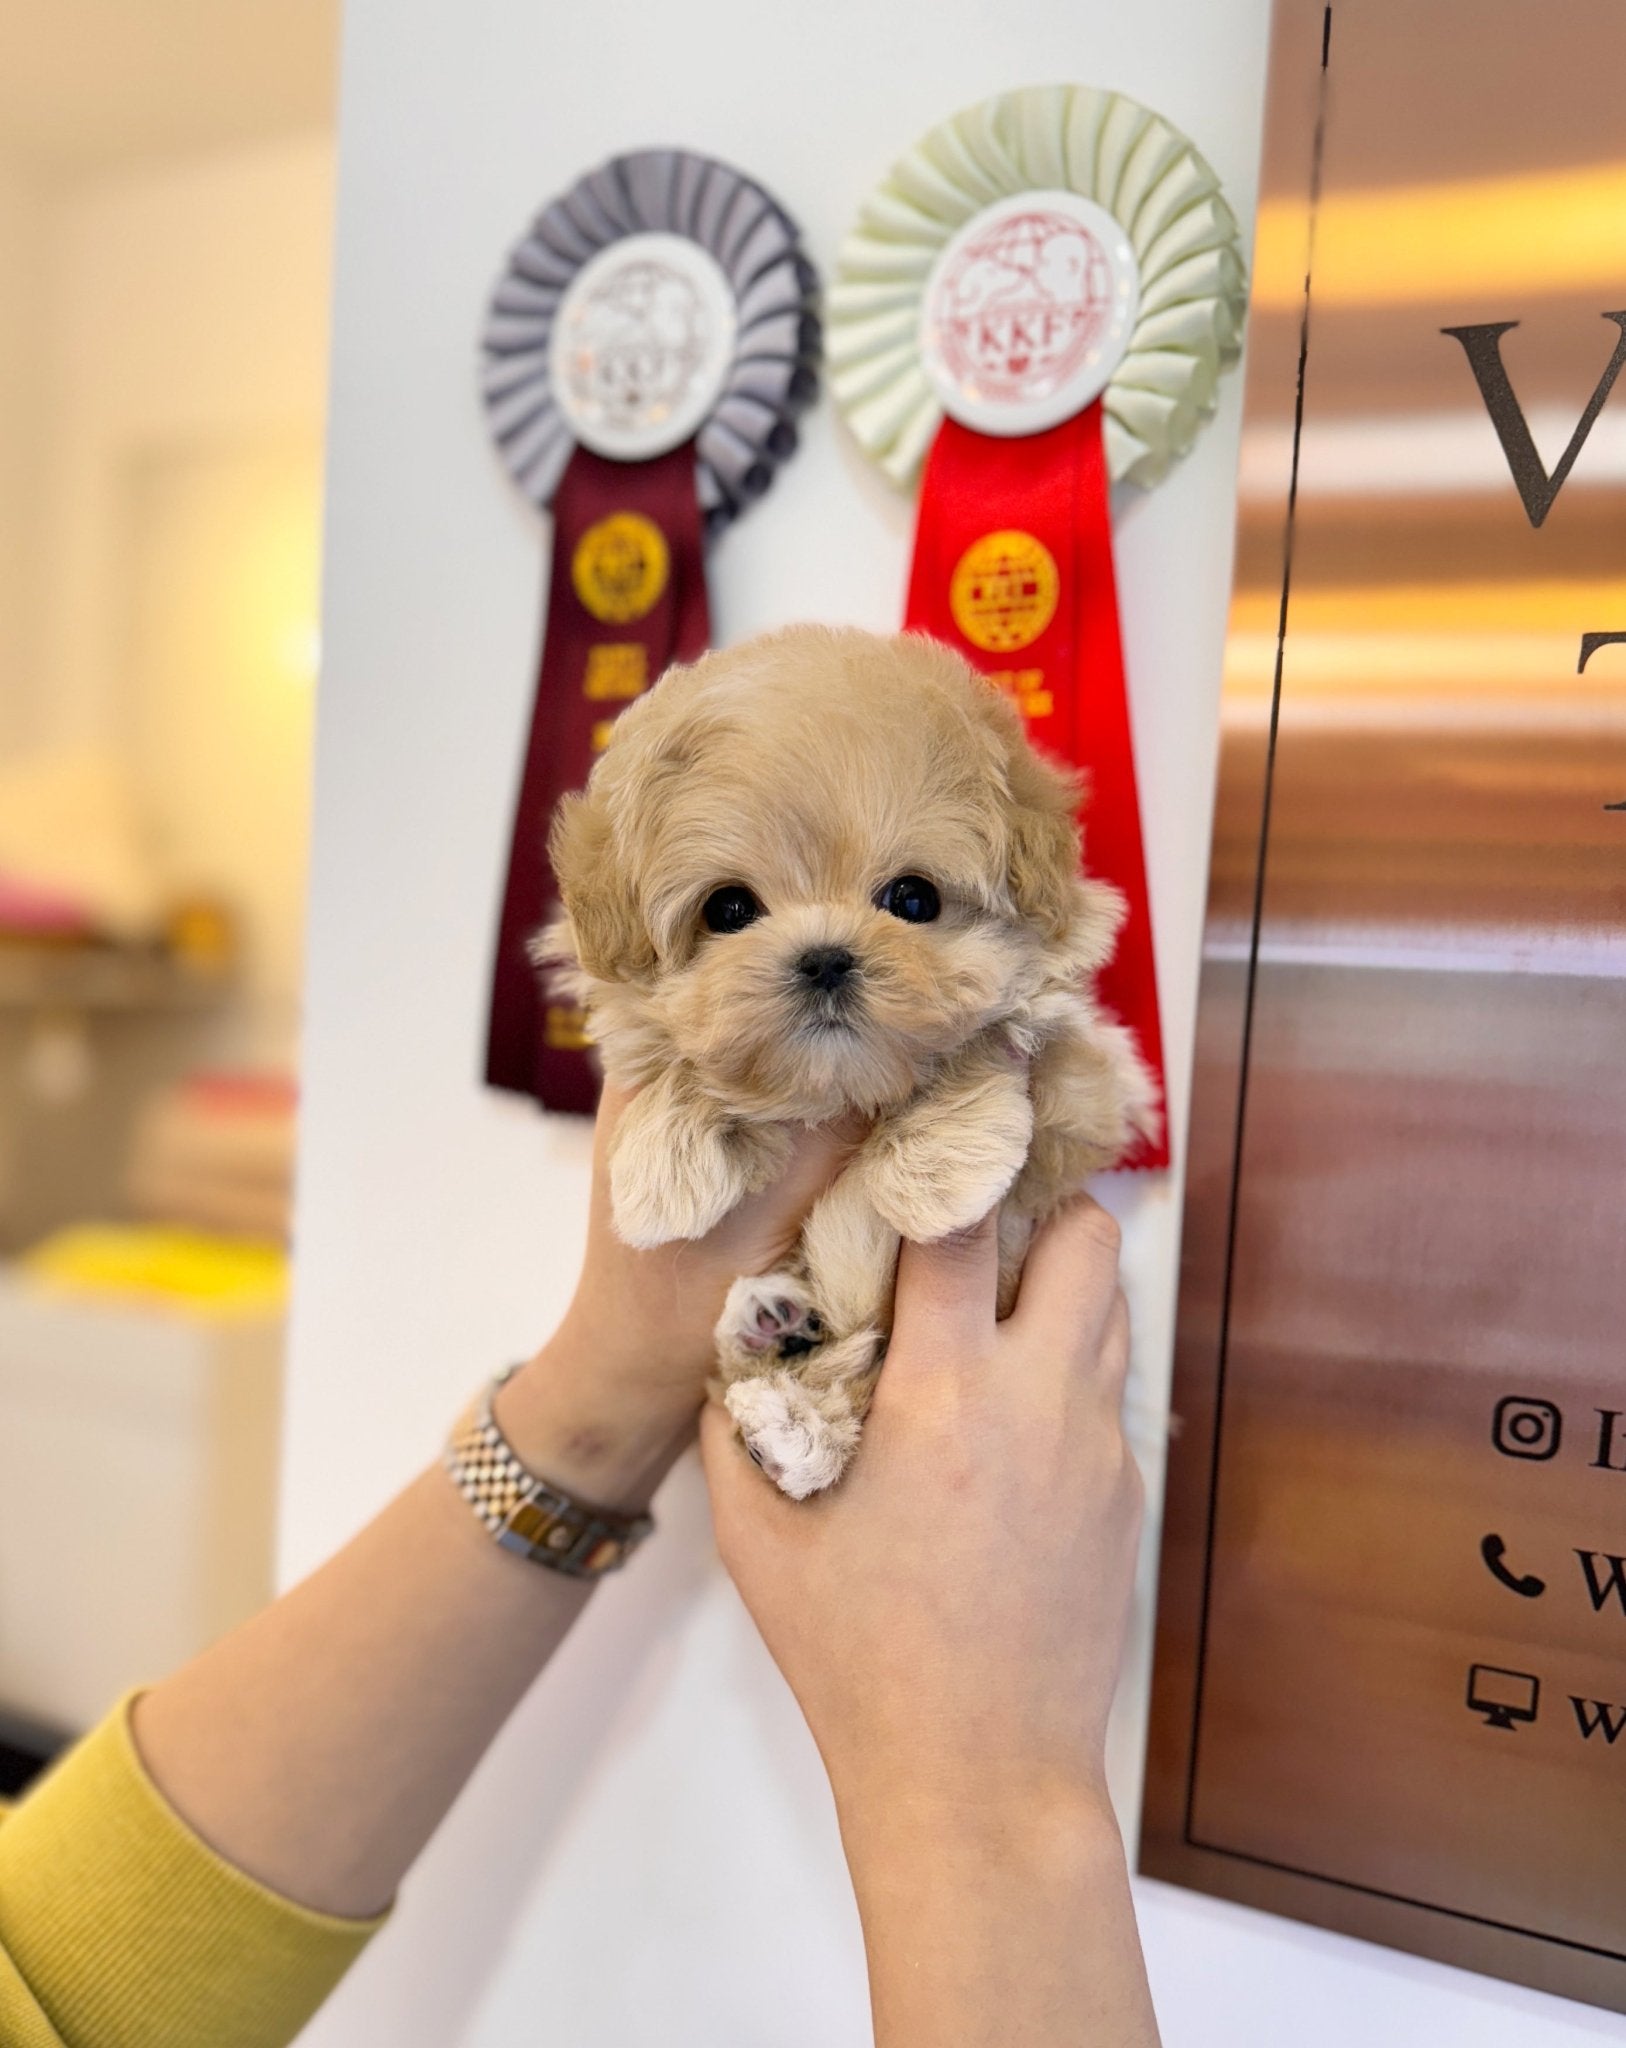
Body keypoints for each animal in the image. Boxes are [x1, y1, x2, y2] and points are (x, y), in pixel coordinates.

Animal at [544, 614, 1154, 1499]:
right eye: (729, 909)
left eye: (914, 899)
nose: (827, 958)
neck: (836, 1088)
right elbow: (674, 1062)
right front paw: (665, 1170)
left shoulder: (1088, 1075)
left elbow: (986, 1041)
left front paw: (933, 1175)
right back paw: (772, 1354)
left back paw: (793, 1421)